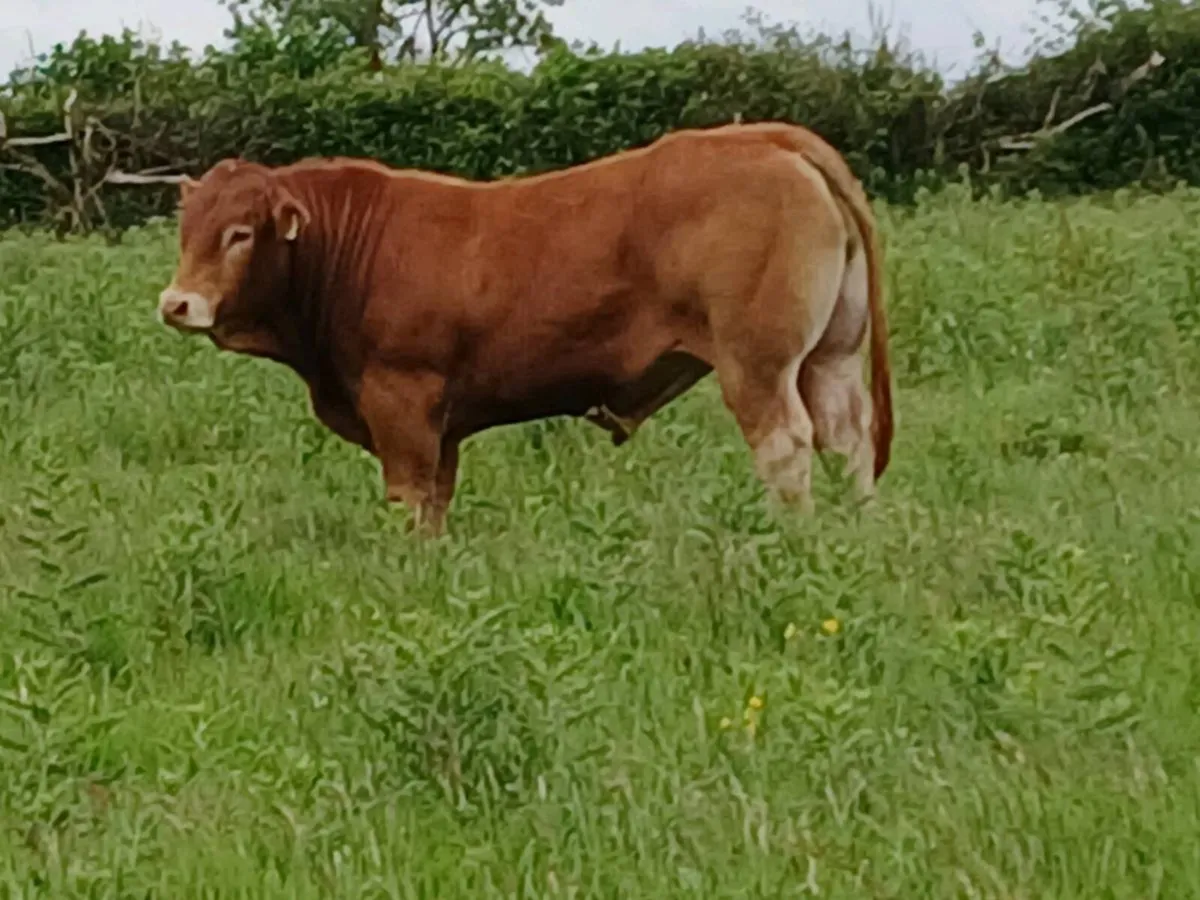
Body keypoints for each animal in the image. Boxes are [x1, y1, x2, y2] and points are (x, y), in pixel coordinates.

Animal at [156, 121, 893, 535]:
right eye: (186, 228)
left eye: (240, 233)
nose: (176, 304)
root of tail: (766, 137)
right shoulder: (442, 426)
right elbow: (436, 506)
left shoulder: (402, 403)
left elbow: (408, 501)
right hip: (831, 356)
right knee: (846, 439)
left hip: (758, 364)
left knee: (787, 446)